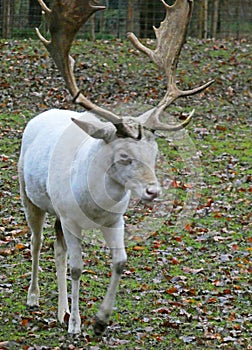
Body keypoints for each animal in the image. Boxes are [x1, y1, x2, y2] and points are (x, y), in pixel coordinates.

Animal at [18, 0, 214, 334]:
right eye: (123, 155)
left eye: (154, 151)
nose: (153, 191)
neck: (94, 206)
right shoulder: (70, 218)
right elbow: (77, 267)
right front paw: (77, 326)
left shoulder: (115, 220)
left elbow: (119, 262)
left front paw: (100, 320)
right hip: (28, 195)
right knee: (36, 242)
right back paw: (34, 298)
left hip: (57, 212)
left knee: (57, 250)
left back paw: (61, 311)